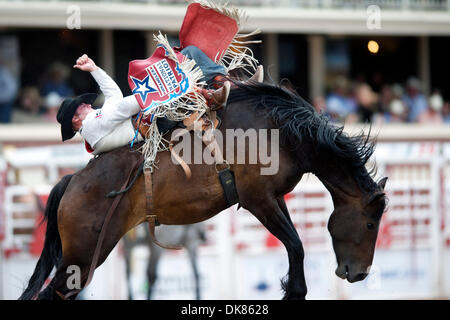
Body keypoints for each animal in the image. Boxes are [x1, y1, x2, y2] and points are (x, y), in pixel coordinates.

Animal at [19, 83, 386, 300]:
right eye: (370, 224)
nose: (359, 273)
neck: (283, 133)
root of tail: (72, 180)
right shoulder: (258, 200)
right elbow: (296, 246)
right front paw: (294, 292)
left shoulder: (273, 198)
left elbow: (294, 245)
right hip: (82, 254)